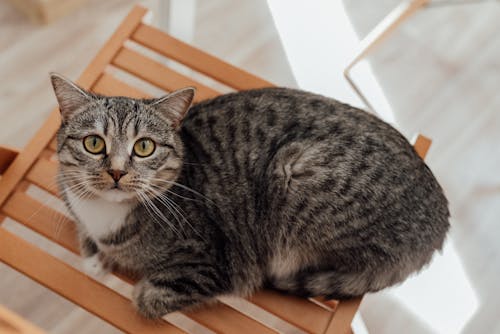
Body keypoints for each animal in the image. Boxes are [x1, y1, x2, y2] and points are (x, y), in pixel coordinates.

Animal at [49, 73, 450, 318]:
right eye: (94, 143)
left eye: (144, 146)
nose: (116, 171)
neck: (106, 215)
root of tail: (441, 222)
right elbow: (87, 245)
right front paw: (96, 259)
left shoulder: (211, 262)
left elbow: (148, 299)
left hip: (295, 176)